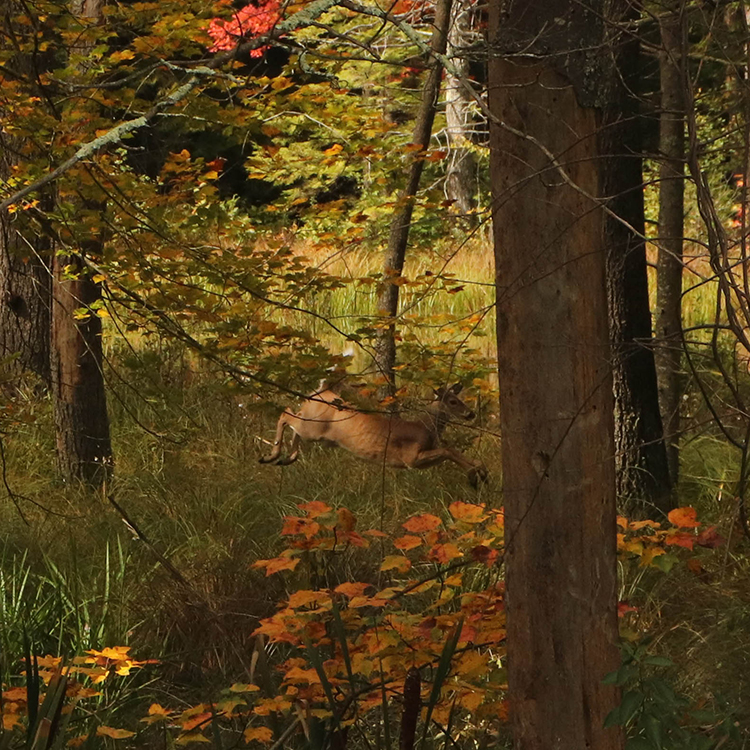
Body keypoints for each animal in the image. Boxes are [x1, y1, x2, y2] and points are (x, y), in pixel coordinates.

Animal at [259, 382, 488, 487]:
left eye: (460, 399)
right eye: (453, 401)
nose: (471, 413)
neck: (425, 428)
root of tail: (321, 389)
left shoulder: (424, 457)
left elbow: (451, 451)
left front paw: (481, 472)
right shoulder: (410, 458)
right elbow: (448, 450)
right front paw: (474, 475)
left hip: (311, 424)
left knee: (293, 418)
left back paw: (287, 458)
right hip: (313, 428)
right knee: (285, 413)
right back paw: (271, 455)